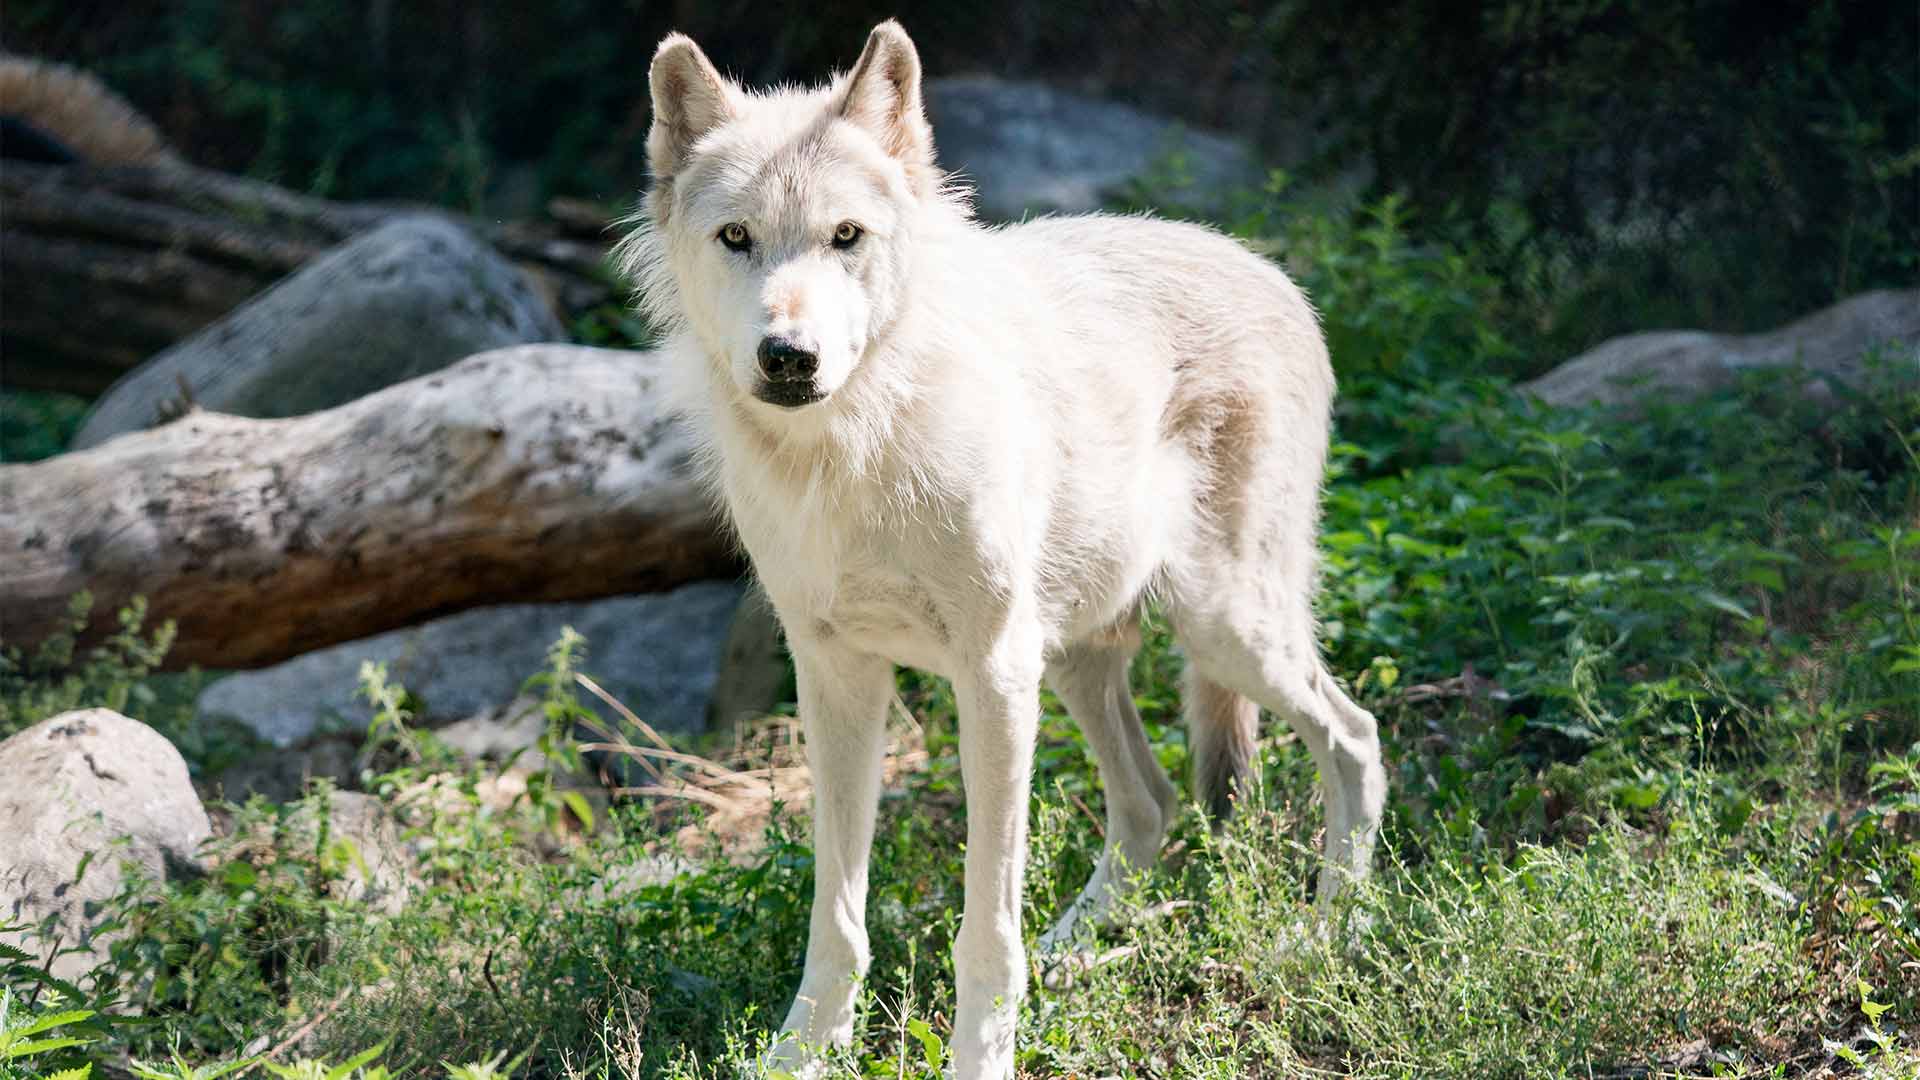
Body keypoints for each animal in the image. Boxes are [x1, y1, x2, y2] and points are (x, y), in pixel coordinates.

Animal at [619, 20, 1387, 1079]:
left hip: (1216, 631)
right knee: (1152, 804)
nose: (789, 358)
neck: (857, 450)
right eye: (736, 238)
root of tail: (1270, 271)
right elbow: (836, 913)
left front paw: (981, 1054)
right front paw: (805, 1050)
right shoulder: (836, 677)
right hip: (1072, 655)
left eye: (845, 237)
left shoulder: (988, 675)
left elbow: (984, 926)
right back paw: (1077, 950)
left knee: (1355, 738)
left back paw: (1324, 936)